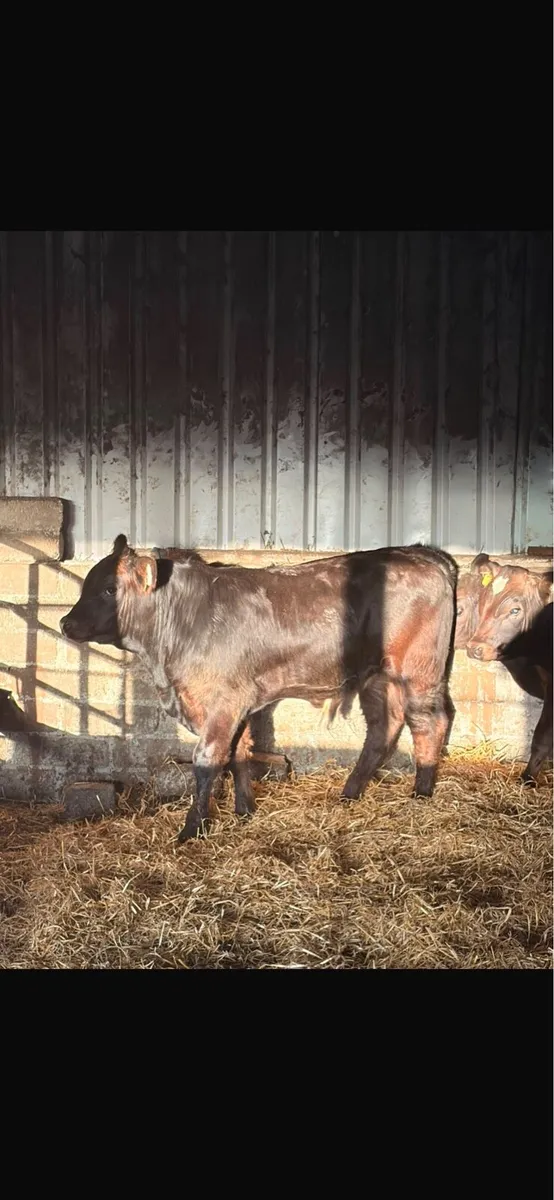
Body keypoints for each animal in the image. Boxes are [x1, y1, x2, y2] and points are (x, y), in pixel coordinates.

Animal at [60, 535, 457, 842]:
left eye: (110, 588)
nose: (65, 623)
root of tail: (421, 553)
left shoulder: (223, 702)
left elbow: (208, 760)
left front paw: (192, 829)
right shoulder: (240, 704)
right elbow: (240, 754)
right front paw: (244, 810)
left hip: (419, 670)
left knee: (428, 722)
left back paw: (421, 792)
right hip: (377, 677)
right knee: (383, 727)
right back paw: (350, 792)